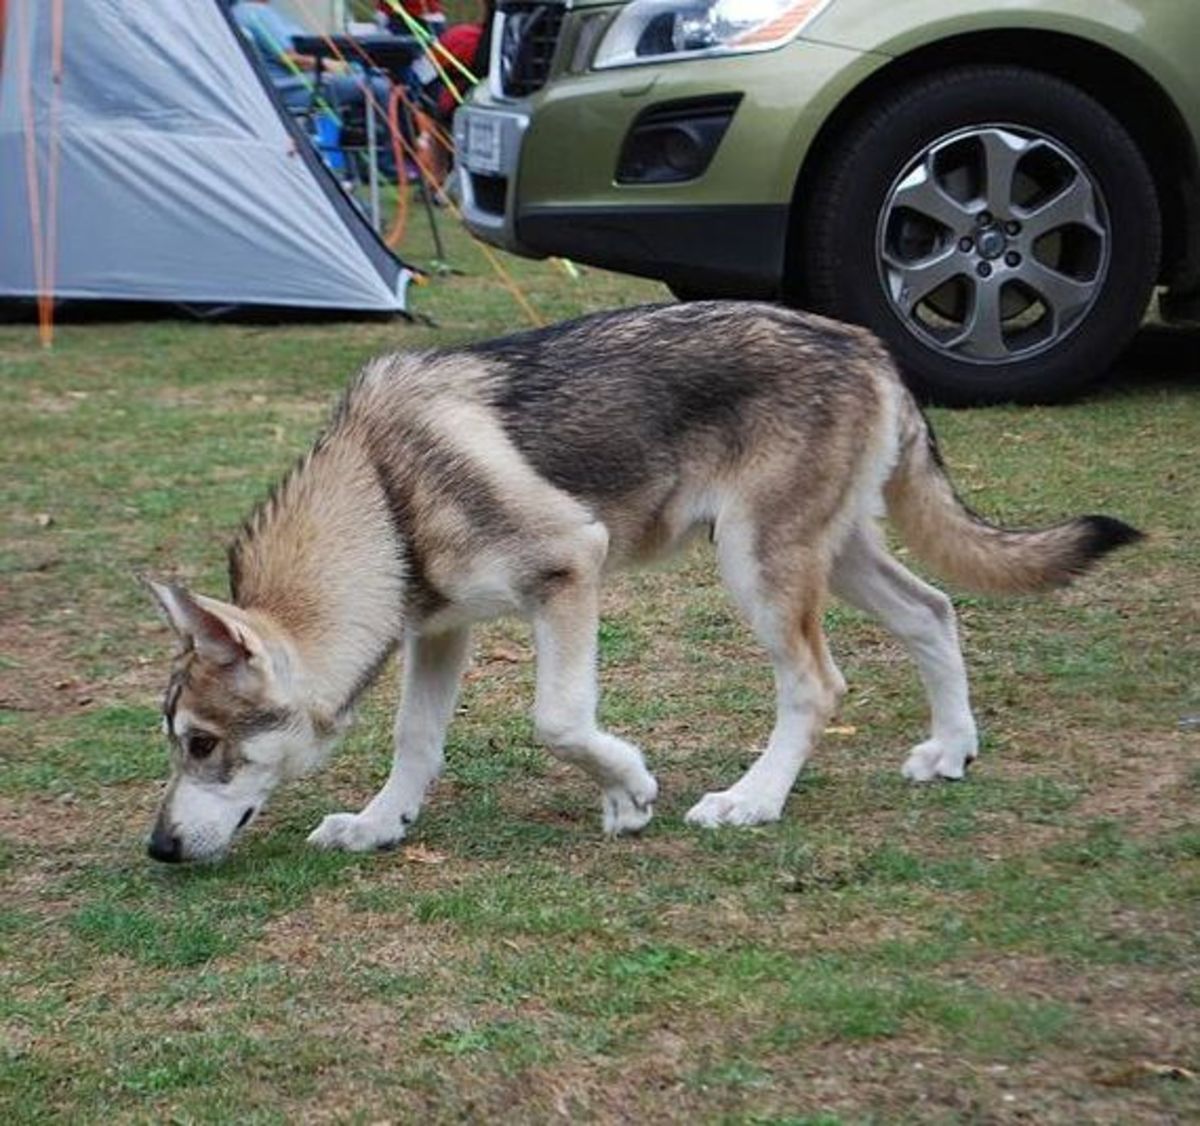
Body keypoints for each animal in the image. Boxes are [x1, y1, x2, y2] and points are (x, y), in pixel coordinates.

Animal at [145, 298, 1137, 859]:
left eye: (200, 744)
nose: (157, 848)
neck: (384, 490)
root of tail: (868, 344)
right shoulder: (441, 630)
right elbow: (415, 743)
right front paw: (380, 825)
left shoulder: (569, 572)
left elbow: (559, 721)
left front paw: (628, 793)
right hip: (832, 557)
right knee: (935, 612)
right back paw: (951, 751)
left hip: (758, 569)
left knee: (819, 685)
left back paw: (753, 801)